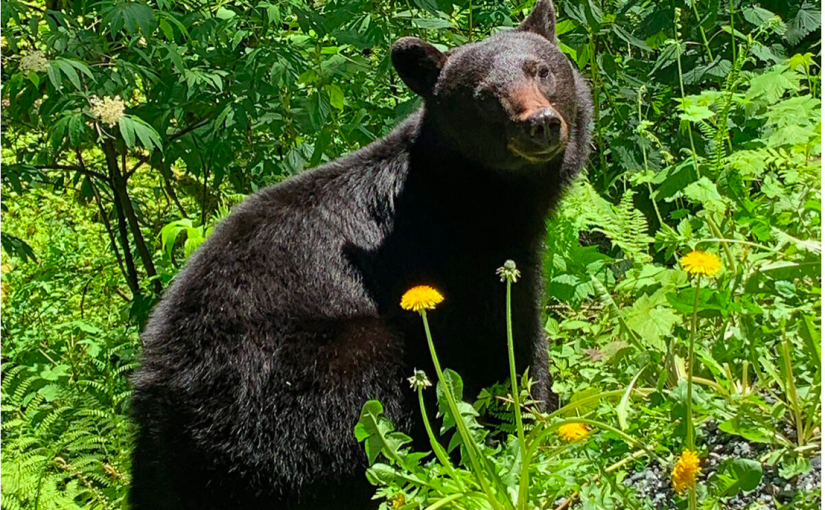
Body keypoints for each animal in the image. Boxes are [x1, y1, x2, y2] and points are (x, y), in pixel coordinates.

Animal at [129, 1, 592, 508]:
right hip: (293, 382)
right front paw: (533, 426)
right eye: (485, 96)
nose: (540, 123)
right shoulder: (456, 257)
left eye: (542, 70)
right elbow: (508, 341)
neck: (471, 194)